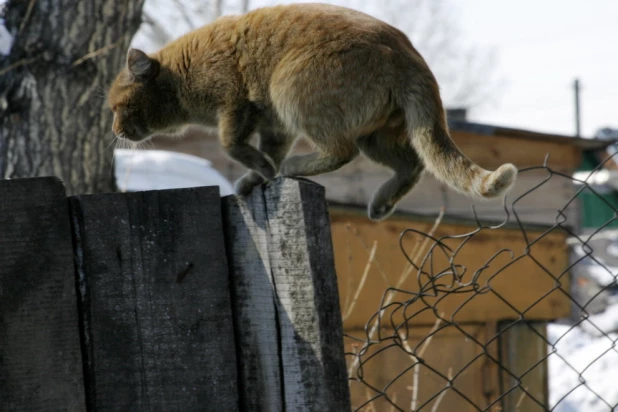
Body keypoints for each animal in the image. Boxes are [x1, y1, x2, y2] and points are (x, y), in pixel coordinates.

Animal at [107, 3, 516, 220]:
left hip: (292, 91)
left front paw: (264, 170)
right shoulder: (274, 125)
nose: (114, 130)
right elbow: (264, 154)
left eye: (117, 107)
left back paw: (295, 168)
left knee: (340, 152)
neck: (182, 74)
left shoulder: (235, 105)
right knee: (412, 164)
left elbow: (233, 146)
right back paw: (381, 202)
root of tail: (407, 53)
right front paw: (256, 178)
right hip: (376, 137)